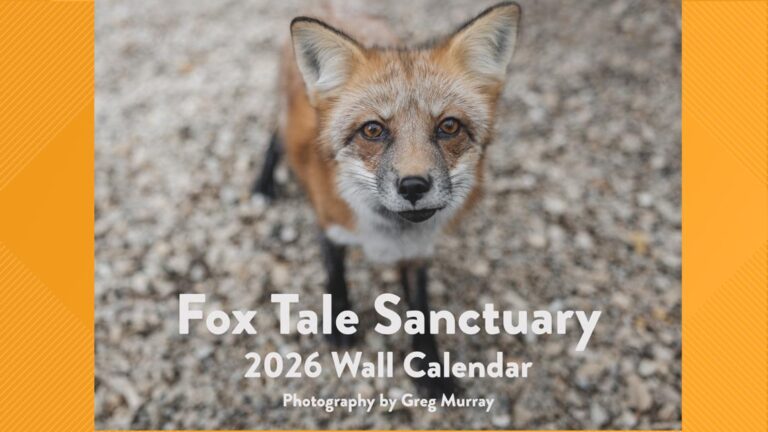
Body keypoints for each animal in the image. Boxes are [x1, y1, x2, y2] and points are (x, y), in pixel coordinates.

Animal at [253, 2, 521, 396]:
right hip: (287, 122)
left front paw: (430, 371)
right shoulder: (329, 226)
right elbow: (335, 278)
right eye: (373, 130)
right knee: (274, 136)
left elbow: (421, 313)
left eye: (449, 126)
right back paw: (263, 184)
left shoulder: (417, 253)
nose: (413, 186)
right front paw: (339, 324)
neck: (388, 234)